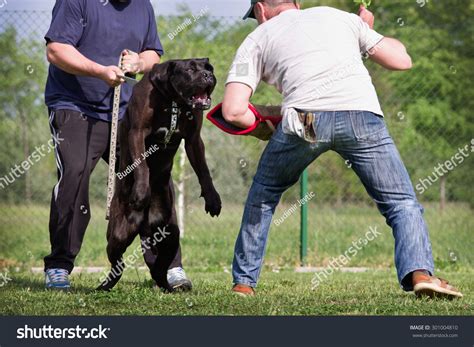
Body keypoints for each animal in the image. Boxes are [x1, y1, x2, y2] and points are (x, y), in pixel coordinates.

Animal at [97, 58, 222, 292]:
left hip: (170, 235)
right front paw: (140, 192)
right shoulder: (137, 132)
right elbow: (142, 166)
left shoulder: (194, 140)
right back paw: (105, 285)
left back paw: (168, 285)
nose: (208, 76)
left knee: (160, 266)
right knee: (118, 262)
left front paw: (212, 198)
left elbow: (204, 171)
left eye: (209, 68)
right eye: (190, 69)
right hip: (118, 234)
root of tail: (144, 223)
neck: (174, 100)